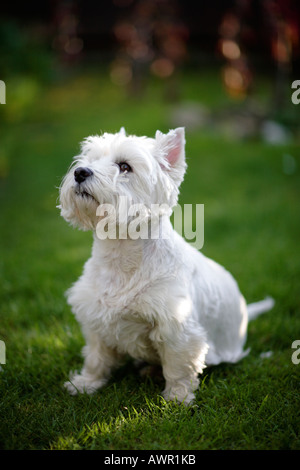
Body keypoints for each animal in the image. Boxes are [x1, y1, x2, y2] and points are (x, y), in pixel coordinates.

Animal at [59, 127, 274, 404]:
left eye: (124, 166)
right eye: (91, 159)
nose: (80, 172)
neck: (121, 254)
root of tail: (245, 312)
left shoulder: (178, 327)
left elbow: (178, 366)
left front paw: (177, 399)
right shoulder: (95, 316)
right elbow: (96, 357)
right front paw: (85, 384)